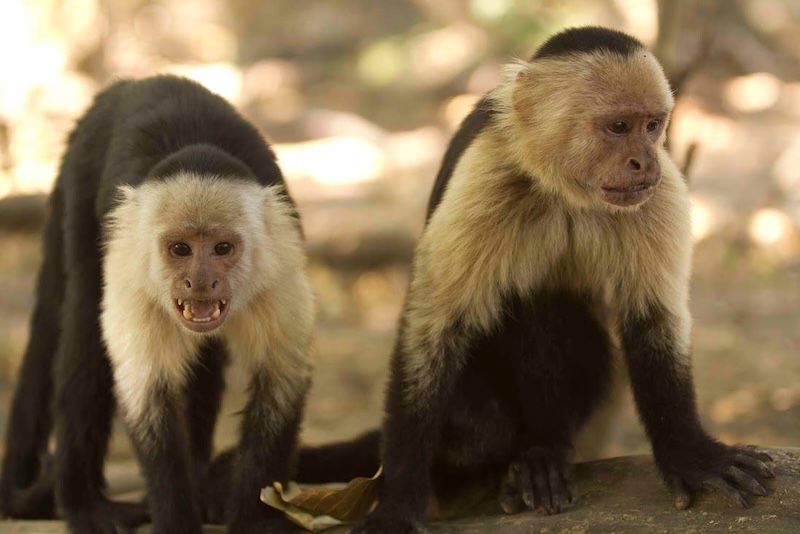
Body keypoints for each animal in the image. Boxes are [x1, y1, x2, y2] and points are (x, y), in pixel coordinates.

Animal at [0, 75, 314, 534]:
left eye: (222, 248)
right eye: (180, 249)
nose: (199, 281)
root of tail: (123, 86)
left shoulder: (280, 262)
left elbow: (278, 382)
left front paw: (254, 518)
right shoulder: (133, 273)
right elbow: (148, 394)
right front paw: (175, 517)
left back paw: (200, 482)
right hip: (82, 184)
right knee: (84, 322)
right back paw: (83, 503)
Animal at [352, 26, 774, 533]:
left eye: (653, 125)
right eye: (619, 127)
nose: (643, 162)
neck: (567, 190)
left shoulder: (663, 188)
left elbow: (654, 319)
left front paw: (691, 455)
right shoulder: (486, 173)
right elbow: (433, 333)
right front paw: (397, 503)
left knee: (553, 309)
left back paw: (543, 450)